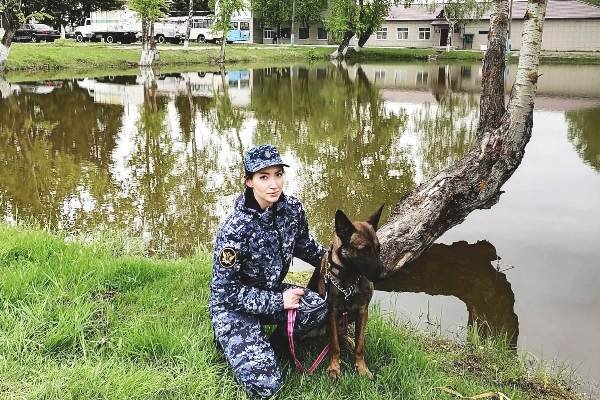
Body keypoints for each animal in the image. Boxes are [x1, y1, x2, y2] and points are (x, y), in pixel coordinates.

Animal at [308, 208, 386, 380]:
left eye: (378, 248)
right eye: (364, 250)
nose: (385, 275)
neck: (349, 278)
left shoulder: (363, 311)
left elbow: (360, 344)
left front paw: (362, 367)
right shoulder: (332, 313)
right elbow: (334, 345)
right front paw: (334, 367)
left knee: (344, 334)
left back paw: (348, 340)